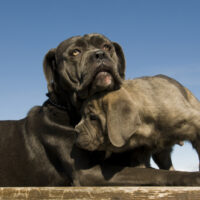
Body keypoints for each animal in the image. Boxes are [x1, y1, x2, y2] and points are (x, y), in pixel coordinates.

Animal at [0, 33, 200, 186]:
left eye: (107, 46)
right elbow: (152, 173)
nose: (99, 54)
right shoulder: (87, 173)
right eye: (75, 51)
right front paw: (192, 177)